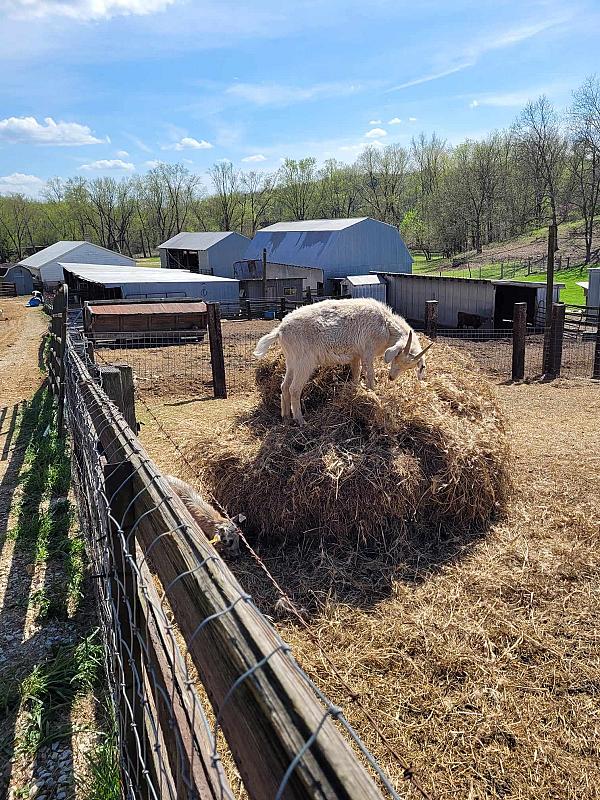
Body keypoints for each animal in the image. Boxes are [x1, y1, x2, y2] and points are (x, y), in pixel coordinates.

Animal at [253, 298, 432, 424]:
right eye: (397, 357)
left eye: (408, 367)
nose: (391, 378)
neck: (386, 325)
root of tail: (280, 330)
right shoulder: (367, 351)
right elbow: (370, 376)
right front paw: (373, 395)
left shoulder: (356, 355)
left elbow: (356, 374)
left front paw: (354, 391)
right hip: (304, 362)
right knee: (294, 389)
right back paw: (300, 420)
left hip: (291, 361)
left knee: (284, 386)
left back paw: (286, 417)